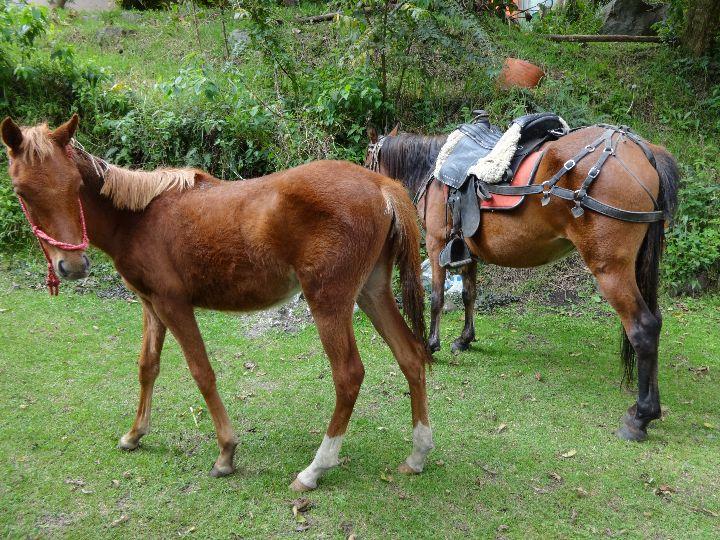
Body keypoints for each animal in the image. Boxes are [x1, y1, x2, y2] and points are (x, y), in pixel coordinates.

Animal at [368, 112, 676, 440]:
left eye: (367, 157)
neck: (435, 167)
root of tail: (643, 151)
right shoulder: (468, 250)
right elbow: (468, 295)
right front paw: (464, 339)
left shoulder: (437, 242)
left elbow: (437, 299)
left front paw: (431, 345)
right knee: (656, 322)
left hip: (611, 270)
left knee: (643, 328)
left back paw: (640, 417)